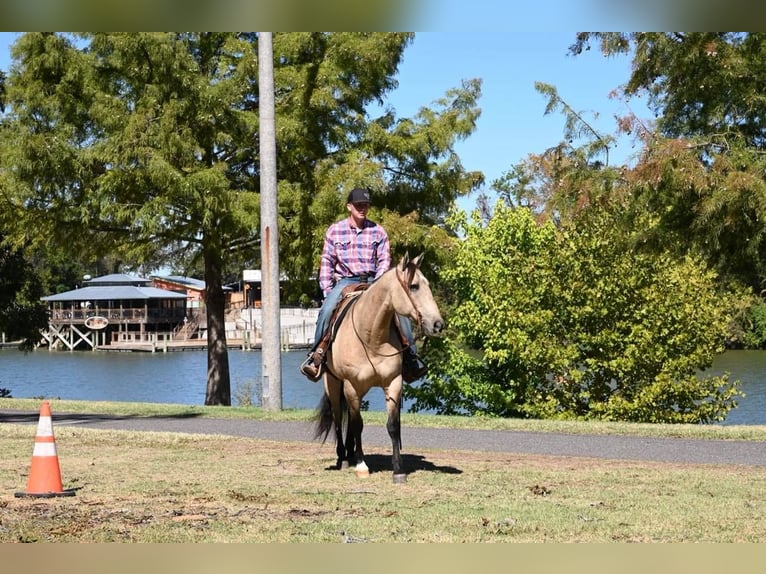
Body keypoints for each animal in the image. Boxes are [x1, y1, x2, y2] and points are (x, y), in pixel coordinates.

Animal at [314, 254, 448, 484]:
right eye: (413, 286)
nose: (438, 324)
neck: (371, 337)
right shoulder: (351, 384)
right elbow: (357, 424)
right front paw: (361, 466)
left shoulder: (393, 383)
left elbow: (393, 426)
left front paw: (398, 470)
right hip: (333, 383)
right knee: (339, 417)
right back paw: (343, 458)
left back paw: (350, 454)